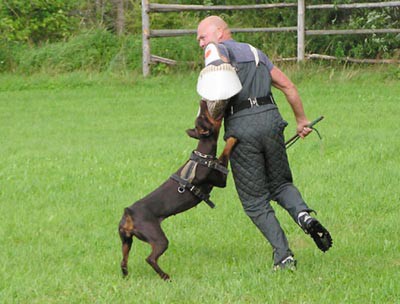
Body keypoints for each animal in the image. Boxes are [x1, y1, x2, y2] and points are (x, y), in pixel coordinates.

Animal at [119, 100, 238, 280]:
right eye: (205, 117)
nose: (202, 101)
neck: (203, 155)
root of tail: (129, 213)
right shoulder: (220, 180)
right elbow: (224, 153)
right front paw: (232, 138)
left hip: (126, 240)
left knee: (123, 260)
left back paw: (126, 273)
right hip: (158, 239)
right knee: (150, 258)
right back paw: (165, 276)